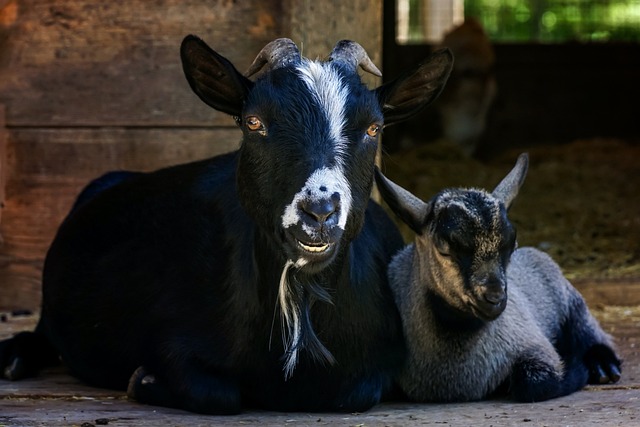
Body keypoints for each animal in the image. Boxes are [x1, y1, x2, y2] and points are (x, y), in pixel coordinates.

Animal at [0, 36, 452, 414]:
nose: (319, 212)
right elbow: (216, 394)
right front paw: (142, 380)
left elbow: (356, 393)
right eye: (254, 122)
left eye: (374, 127)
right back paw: (13, 357)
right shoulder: (174, 340)